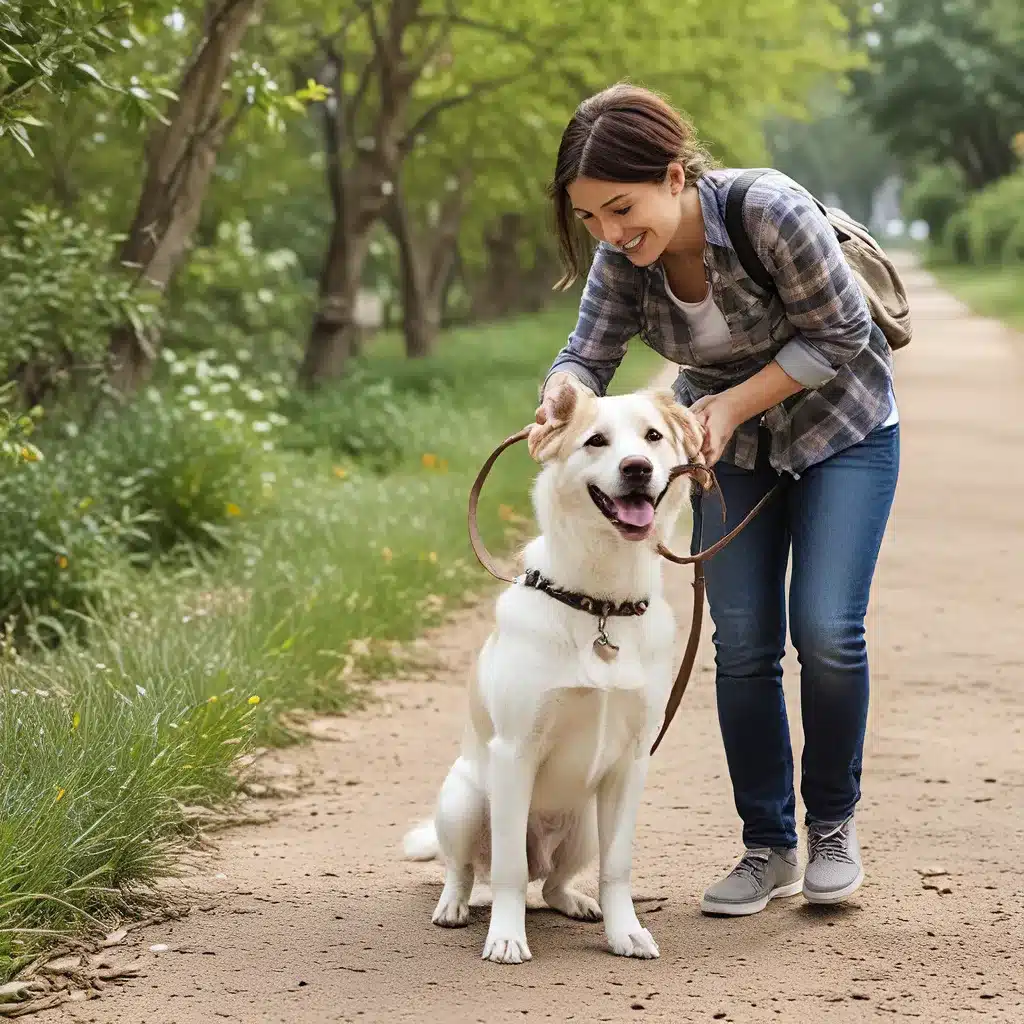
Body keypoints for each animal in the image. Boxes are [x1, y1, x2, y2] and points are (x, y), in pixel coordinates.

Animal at [403, 380, 708, 962]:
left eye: (652, 437)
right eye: (596, 441)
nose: (637, 468)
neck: (602, 603)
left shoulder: (631, 763)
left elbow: (617, 868)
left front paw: (625, 931)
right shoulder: (514, 751)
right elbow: (504, 870)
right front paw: (505, 937)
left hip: (584, 823)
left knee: (550, 883)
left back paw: (577, 903)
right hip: (465, 801)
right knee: (469, 868)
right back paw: (454, 906)